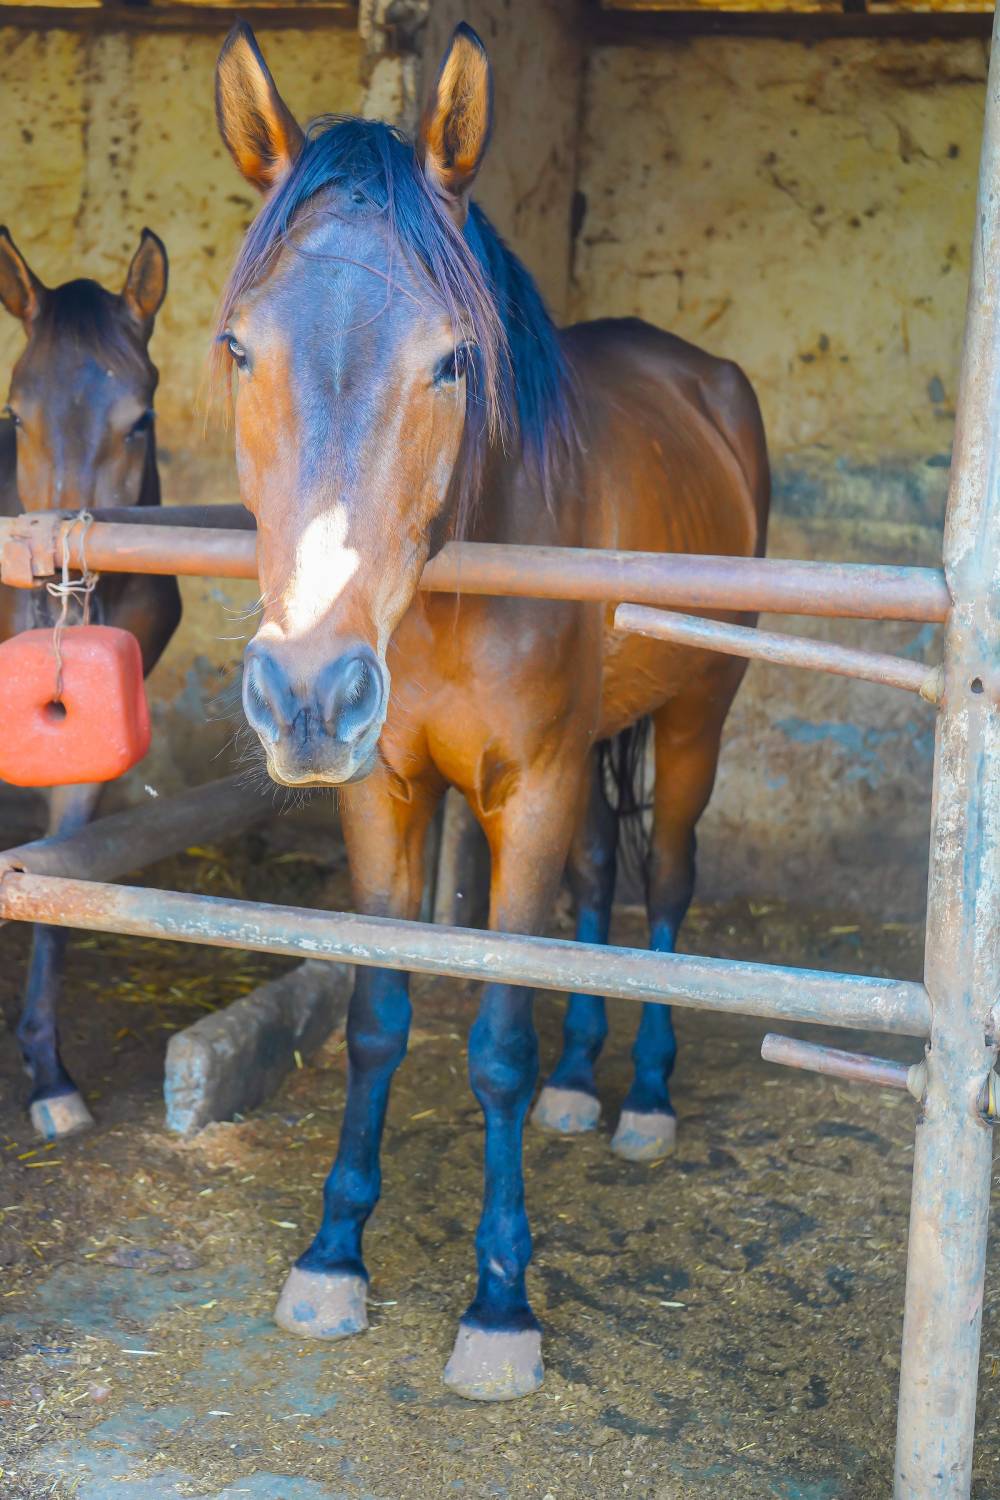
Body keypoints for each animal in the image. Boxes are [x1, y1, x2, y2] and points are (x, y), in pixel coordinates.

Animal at [214, 20, 769, 1400]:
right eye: (240, 348)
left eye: (452, 359)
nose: (307, 692)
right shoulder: (383, 790)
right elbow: (376, 1020)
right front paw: (333, 1254)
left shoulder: (533, 785)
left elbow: (498, 1043)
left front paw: (502, 1305)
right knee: (597, 886)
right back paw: (584, 1082)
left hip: (693, 722)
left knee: (663, 884)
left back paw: (644, 1101)